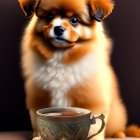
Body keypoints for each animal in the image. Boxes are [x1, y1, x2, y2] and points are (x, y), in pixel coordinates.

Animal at [18, 0, 127, 139]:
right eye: (49, 17)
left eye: (74, 20)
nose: (58, 29)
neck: (61, 56)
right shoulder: (39, 98)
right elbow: (37, 122)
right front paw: (38, 137)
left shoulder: (92, 99)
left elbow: (94, 125)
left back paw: (119, 134)